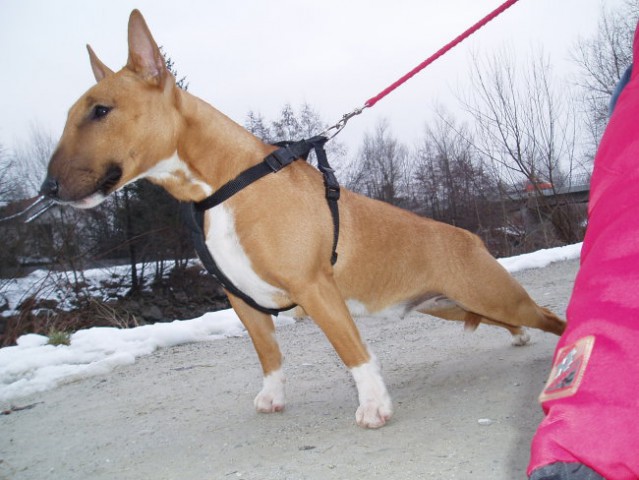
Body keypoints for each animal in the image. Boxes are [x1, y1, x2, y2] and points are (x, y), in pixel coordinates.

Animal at [41, 10, 564, 428]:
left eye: (101, 110)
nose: (48, 190)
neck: (224, 187)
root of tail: (470, 237)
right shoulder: (243, 300)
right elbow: (268, 353)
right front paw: (272, 397)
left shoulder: (315, 288)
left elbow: (353, 351)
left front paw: (374, 407)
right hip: (451, 303)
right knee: (514, 319)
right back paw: (521, 338)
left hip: (493, 295)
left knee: (547, 315)